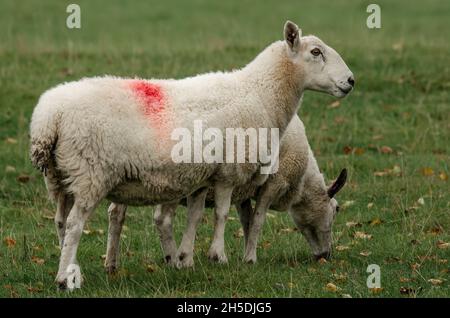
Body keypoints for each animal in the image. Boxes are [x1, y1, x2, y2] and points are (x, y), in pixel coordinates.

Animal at [105, 114, 348, 270]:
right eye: (336, 209)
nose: (326, 255)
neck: (302, 182)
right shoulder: (273, 184)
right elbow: (258, 220)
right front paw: (250, 258)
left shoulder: (243, 191)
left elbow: (247, 221)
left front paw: (247, 254)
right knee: (160, 218)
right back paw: (173, 261)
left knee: (116, 213)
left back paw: (111, 264)